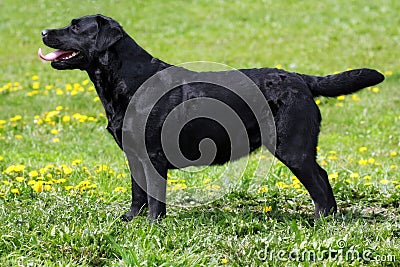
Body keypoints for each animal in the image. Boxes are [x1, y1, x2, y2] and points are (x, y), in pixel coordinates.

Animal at [39, 13, 384, 221]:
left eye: (74, 27)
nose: (42, 31)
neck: (127, 81)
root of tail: (300, 78)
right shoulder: (134, 155)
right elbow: (138, 192)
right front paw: (129, 220)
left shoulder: (153, 156)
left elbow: (155, 197)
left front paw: (152, 224)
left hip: (292, 147)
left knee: (320, 180)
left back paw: (321, 219)